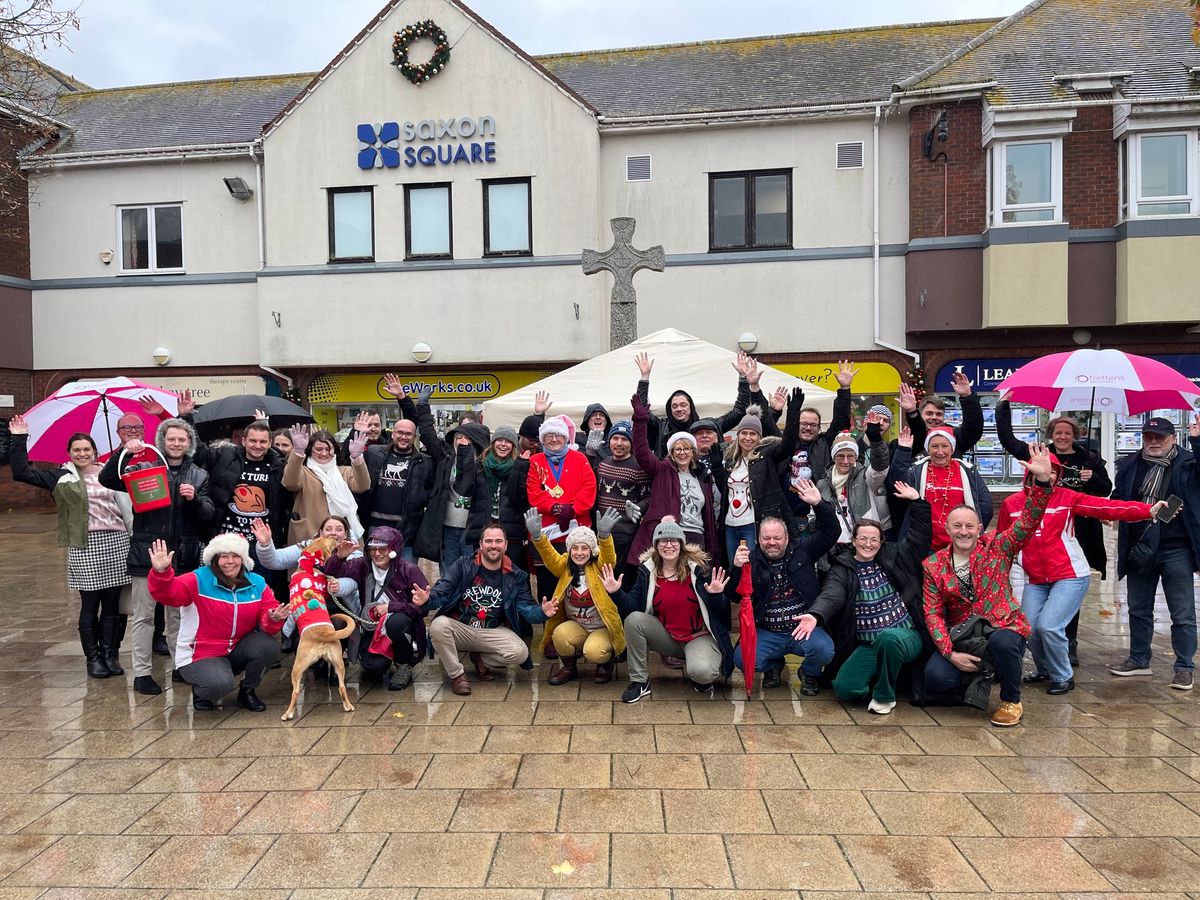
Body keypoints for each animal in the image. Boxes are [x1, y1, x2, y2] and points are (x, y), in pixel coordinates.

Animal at [280, 535, 355, 724]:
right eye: (329, 537)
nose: (337, 537)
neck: (310, 564)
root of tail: (324, 634)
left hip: (298, 666)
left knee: (295, 691)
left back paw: (288, 714)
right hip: (337, 661)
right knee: (342, 687)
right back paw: (348, 706)